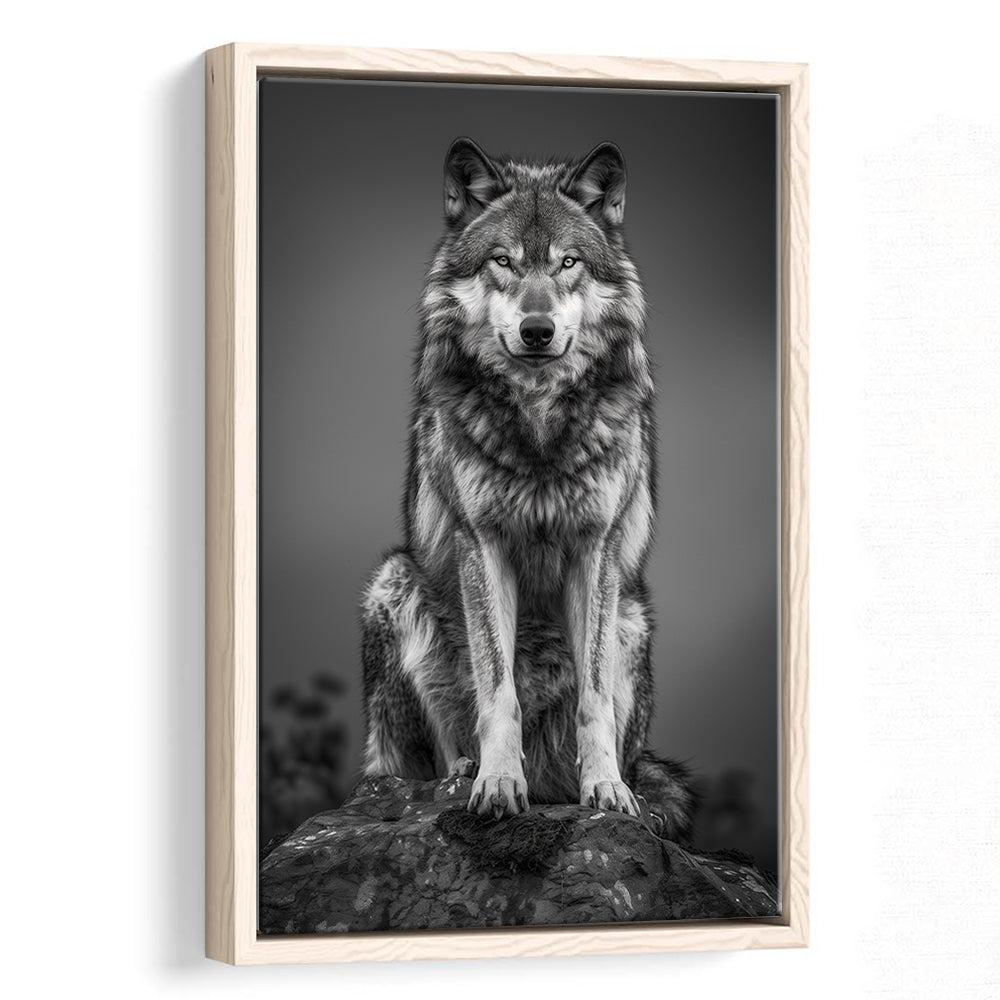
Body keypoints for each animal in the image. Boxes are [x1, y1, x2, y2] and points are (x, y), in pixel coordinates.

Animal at [359, 137, 694, 839]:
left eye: (568, 262)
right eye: (503, 262)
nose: (537, 330)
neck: (538, 423)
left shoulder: (596, 550)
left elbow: (594, 699)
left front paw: (606, 790)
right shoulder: (481, 543)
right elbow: (498, 688)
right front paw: (496, 782)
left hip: (632, 620)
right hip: (393, 583)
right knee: (416, 760)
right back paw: (464, 773)